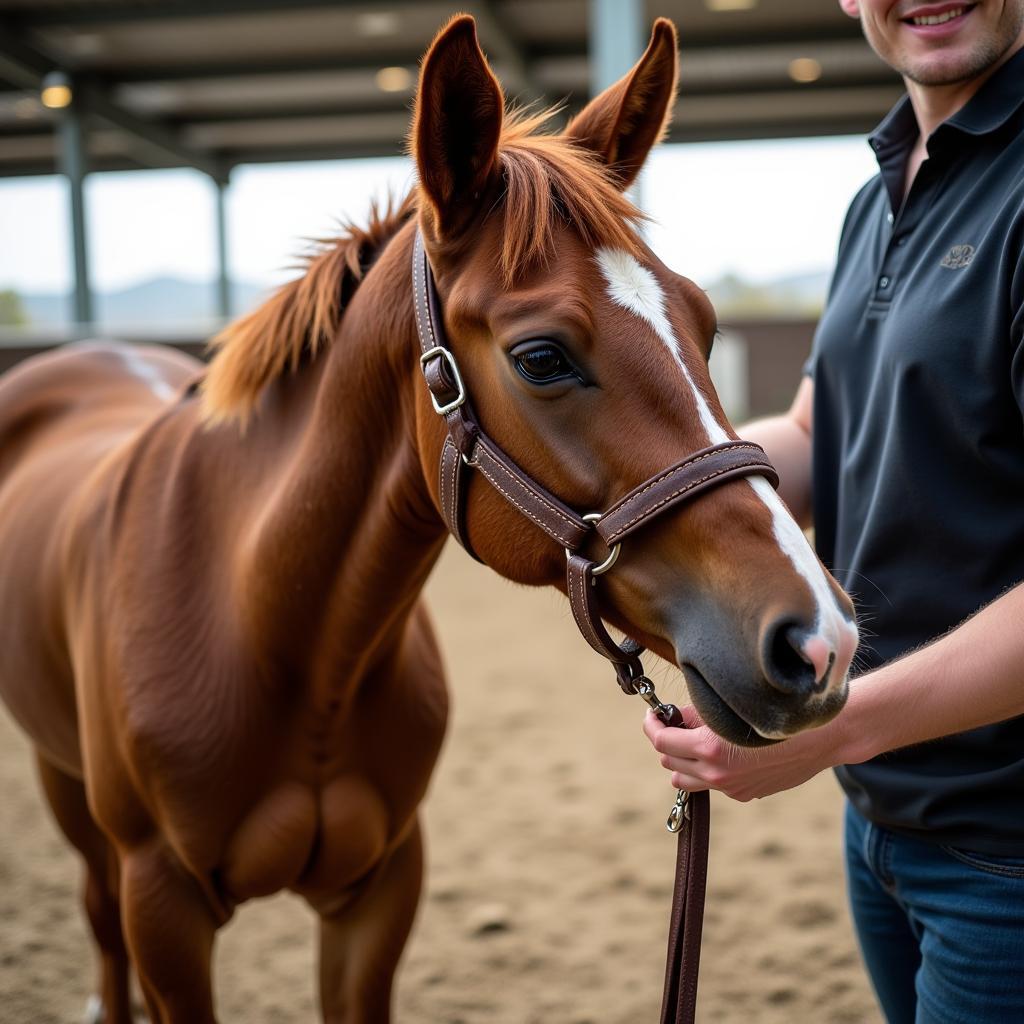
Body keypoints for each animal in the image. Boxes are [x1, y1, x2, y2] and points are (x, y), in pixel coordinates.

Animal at [0, 16, 856, 1024]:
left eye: (707, 325)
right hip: (70, 794)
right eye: (540, 356)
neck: (276, 639)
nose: (820, 641)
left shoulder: (379, 893)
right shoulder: (163, 909)